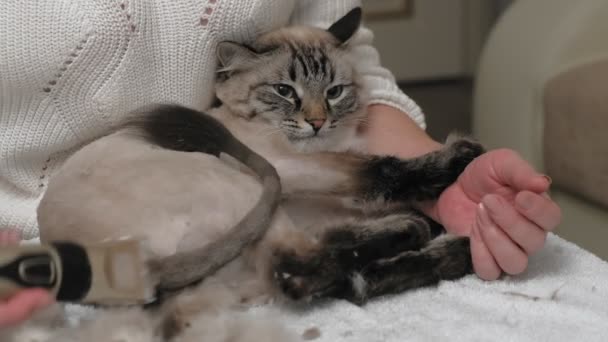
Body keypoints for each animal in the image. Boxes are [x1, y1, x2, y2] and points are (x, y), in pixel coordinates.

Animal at [17, 6, 484, 340]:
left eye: (334, 92)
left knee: (318, 273)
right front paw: (458, 158)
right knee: (299, 269)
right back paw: (410, 236)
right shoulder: (293, 168)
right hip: (244, 186)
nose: (317, 122)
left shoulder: (329, 201)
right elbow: (377, 169)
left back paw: (417, 252)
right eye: (285, 92)